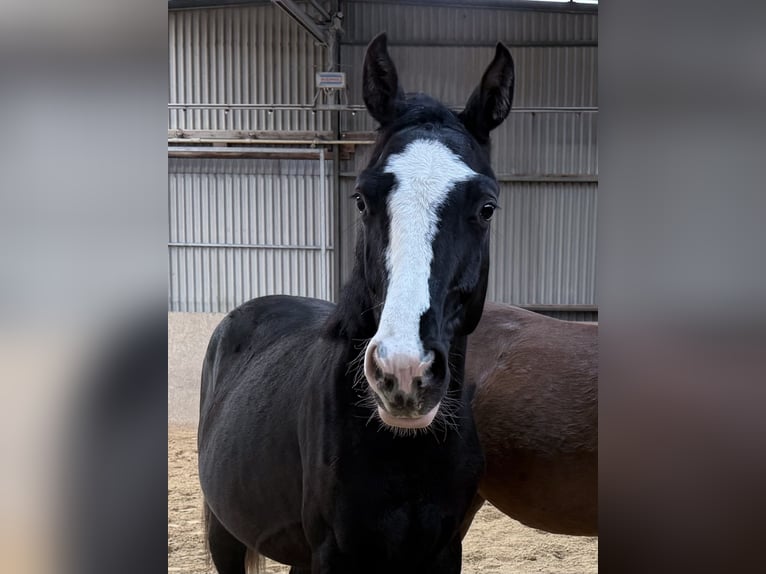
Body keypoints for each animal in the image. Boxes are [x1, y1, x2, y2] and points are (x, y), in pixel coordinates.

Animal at [197, 33, 515, 573]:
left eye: (487, 207)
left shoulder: (444, 550)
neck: (405, 453)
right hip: (226, 535)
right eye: (363, 199)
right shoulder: (334, 553)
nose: (404, 373)